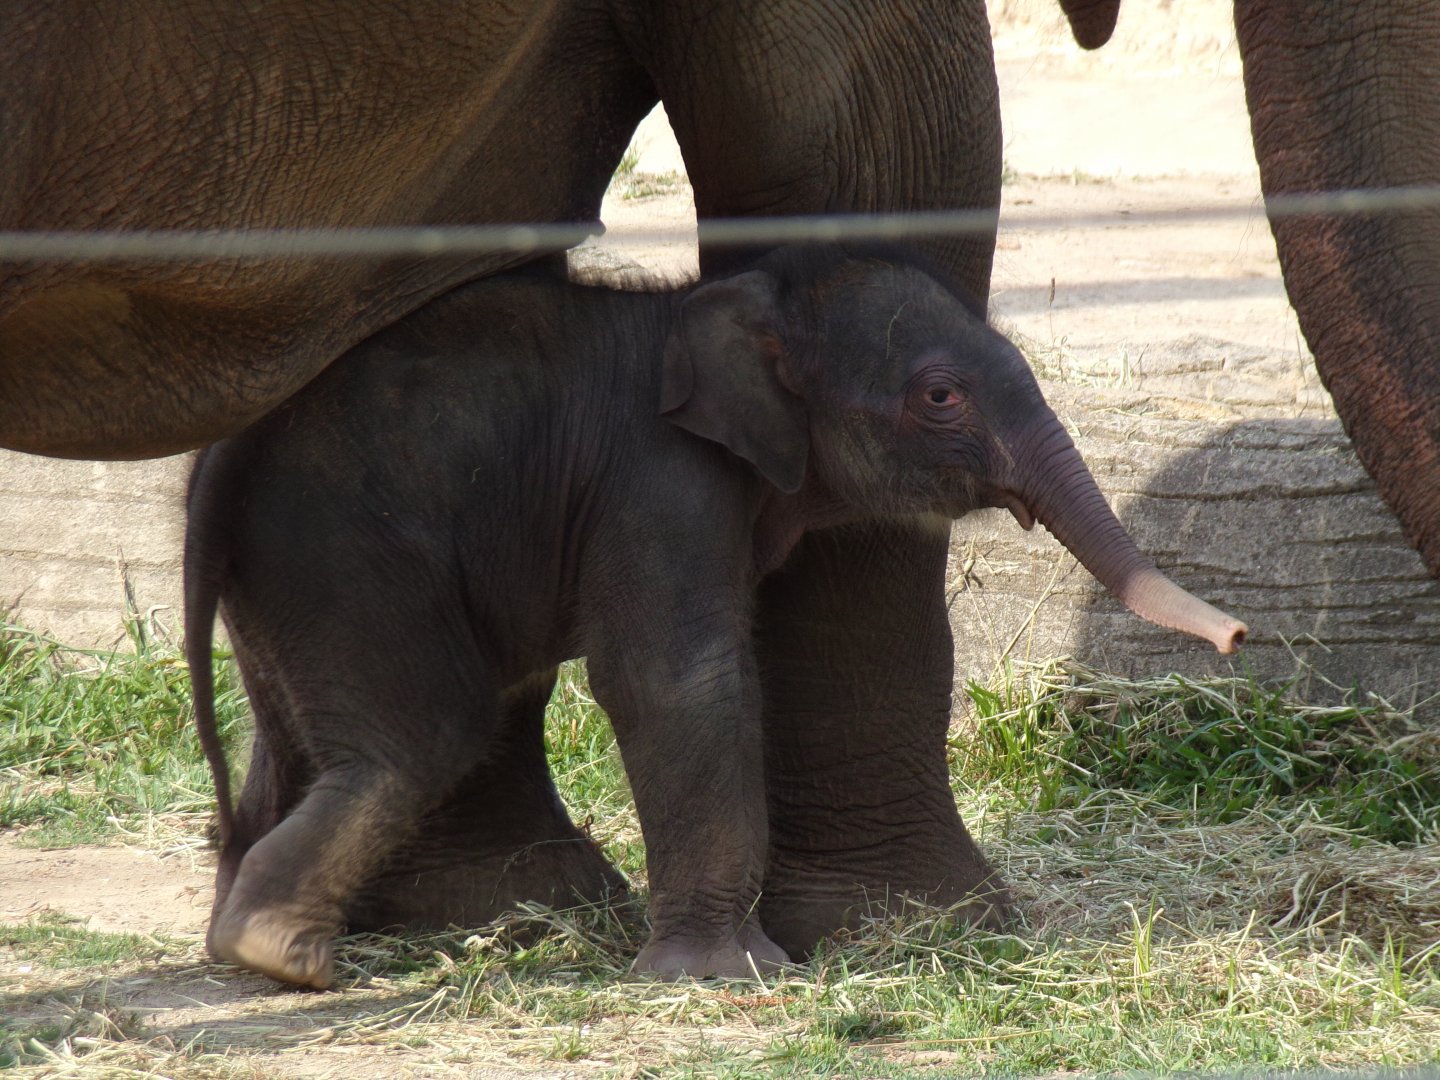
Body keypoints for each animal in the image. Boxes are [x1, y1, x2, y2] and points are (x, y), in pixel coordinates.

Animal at [184, 246, 1246, 987]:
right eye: (940, 395)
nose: (1238, 637)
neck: (743, 298)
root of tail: (215, 470)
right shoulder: (658, 480)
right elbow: (678, 676)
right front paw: (730, 976)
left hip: (284, 582)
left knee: (298, 731)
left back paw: (254, 934)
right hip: (346, 551)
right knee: (422, 735)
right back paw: (279, 953)